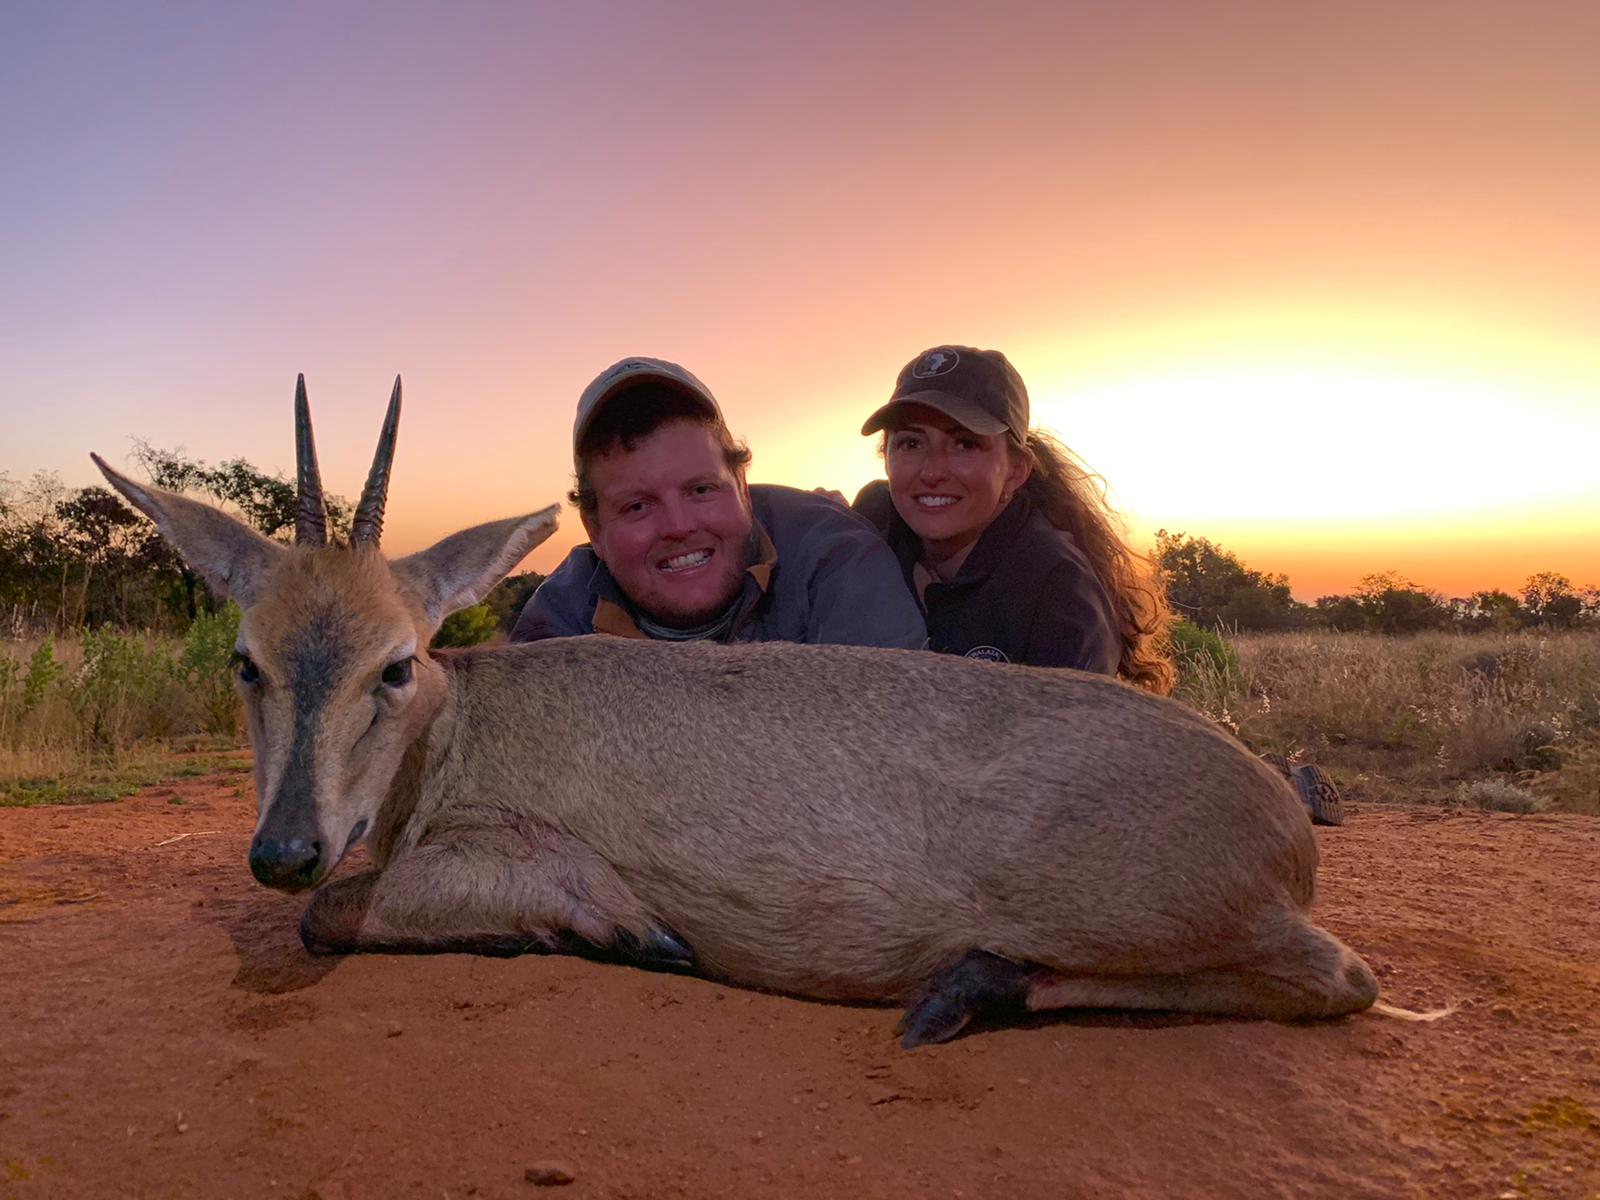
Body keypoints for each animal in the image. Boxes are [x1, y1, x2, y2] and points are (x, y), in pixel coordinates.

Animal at [93, 380, 1382, 1049]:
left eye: (395, 665)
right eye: (246, 662)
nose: (283, 850)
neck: (469, 726)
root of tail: (1282, 817)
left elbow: (338, 917)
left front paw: (612, 933)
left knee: (1341, 982)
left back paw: (971, 987)